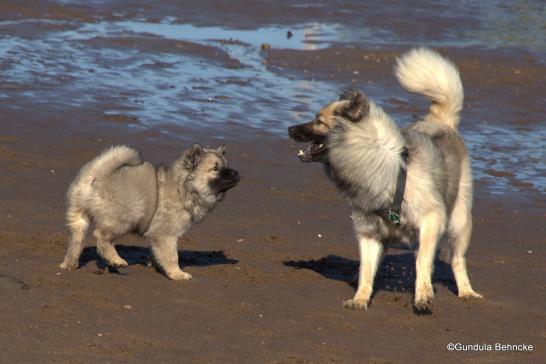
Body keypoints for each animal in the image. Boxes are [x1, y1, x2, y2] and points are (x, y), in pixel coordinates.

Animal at [59, 142, 238, 278]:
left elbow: (157, 253)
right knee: (101, 236)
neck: (183, 187)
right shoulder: (166, 235)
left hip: (78, 217)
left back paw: (69, 264)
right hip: (127, 216)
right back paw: (116, 260)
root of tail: (96, 175)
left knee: (77, 240)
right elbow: (172, 256)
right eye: (215, 169)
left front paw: (155, 265)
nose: (236, 173)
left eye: (226, 165)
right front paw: (177, 274)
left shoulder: (158, 236)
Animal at [286, 47, 478, 312]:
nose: (289, 129)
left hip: (459, 220)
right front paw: (360, 299)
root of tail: (441, 123)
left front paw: (422, 296)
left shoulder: (432, 220)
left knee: (458, 259)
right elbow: (366, 271)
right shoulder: (369, 234)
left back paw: (467, 291)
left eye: (318, 120)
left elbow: (421, 261)